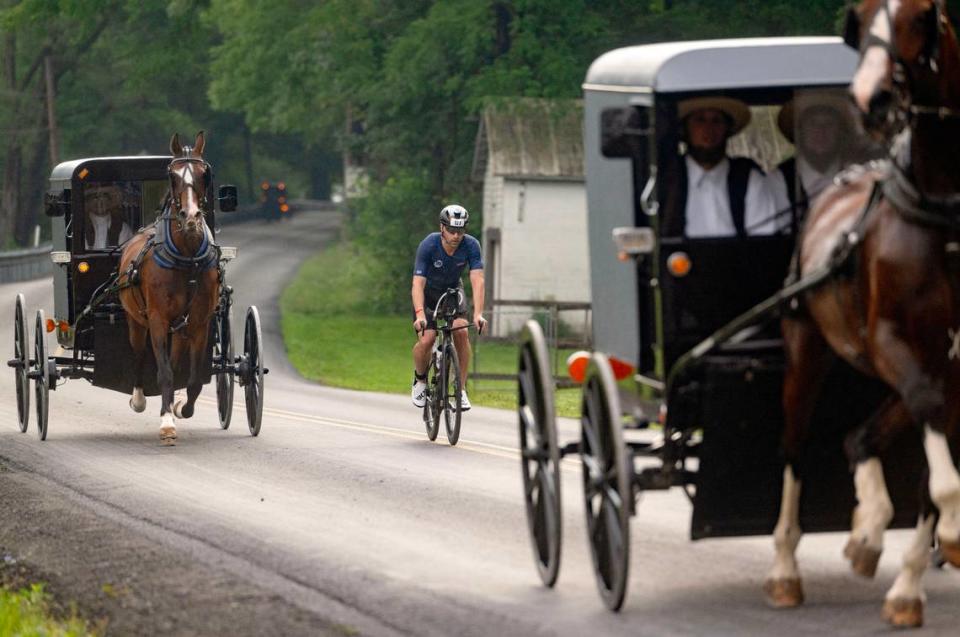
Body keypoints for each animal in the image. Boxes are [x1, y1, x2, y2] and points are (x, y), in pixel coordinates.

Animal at [118, 132, 219, 444]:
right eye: (172, 176)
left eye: (204, 173)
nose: (191, 217)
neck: (186, 258)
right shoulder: (158, 319)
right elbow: (163, 372)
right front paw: (165, 422)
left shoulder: (199, 323)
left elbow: (194, 379)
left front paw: (180, 408)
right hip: (137, 322)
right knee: (140, 353)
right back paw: (139, 398)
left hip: (180, 328)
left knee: (175, 362)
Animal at [764, 0, 960, 628]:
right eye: (864, 16)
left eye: (922, 16)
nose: (871, 99)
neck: (944, 216)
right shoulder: (892, 342)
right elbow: (940, 475)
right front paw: (946, 536)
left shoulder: (954, 369)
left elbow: (929, 478)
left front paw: (907, 587)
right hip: (807, 354)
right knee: (793, 448)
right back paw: (787, 569)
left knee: (859, 437)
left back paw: (866, 532)